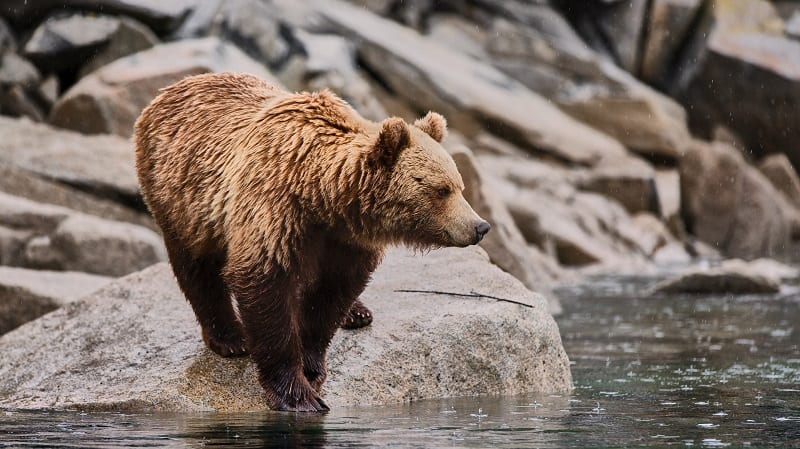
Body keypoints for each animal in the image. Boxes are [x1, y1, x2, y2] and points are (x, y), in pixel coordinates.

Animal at [134, 72, 490, 412]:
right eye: (441, 190)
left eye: (459, 185)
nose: (479, 226)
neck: (321, 194)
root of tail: (168, 91)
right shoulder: (274, 210)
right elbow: (265, 289)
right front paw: (297, 394)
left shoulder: (346, 241)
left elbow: (330, 297)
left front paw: (312, 366)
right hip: (182, 197)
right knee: (197, 266)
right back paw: (230, 338)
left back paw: (357, 313)